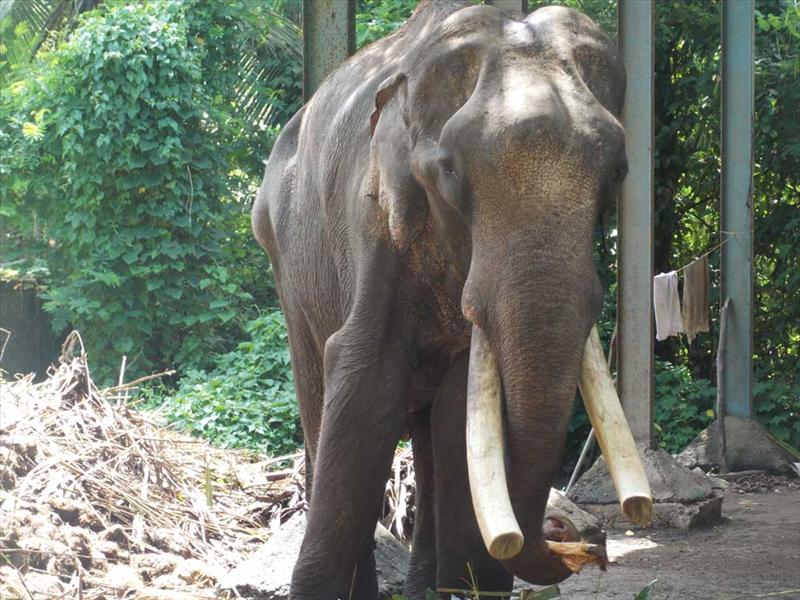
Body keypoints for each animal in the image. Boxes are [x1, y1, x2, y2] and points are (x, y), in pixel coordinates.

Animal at [251, 1, 626, 598]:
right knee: (317, 394)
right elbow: (363, 377)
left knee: (430, 433)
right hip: (286, 264)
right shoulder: (373, 222)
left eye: (618, 171)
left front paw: (472, 584)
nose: (581, 542)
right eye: (449, 169)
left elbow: (460, 410)